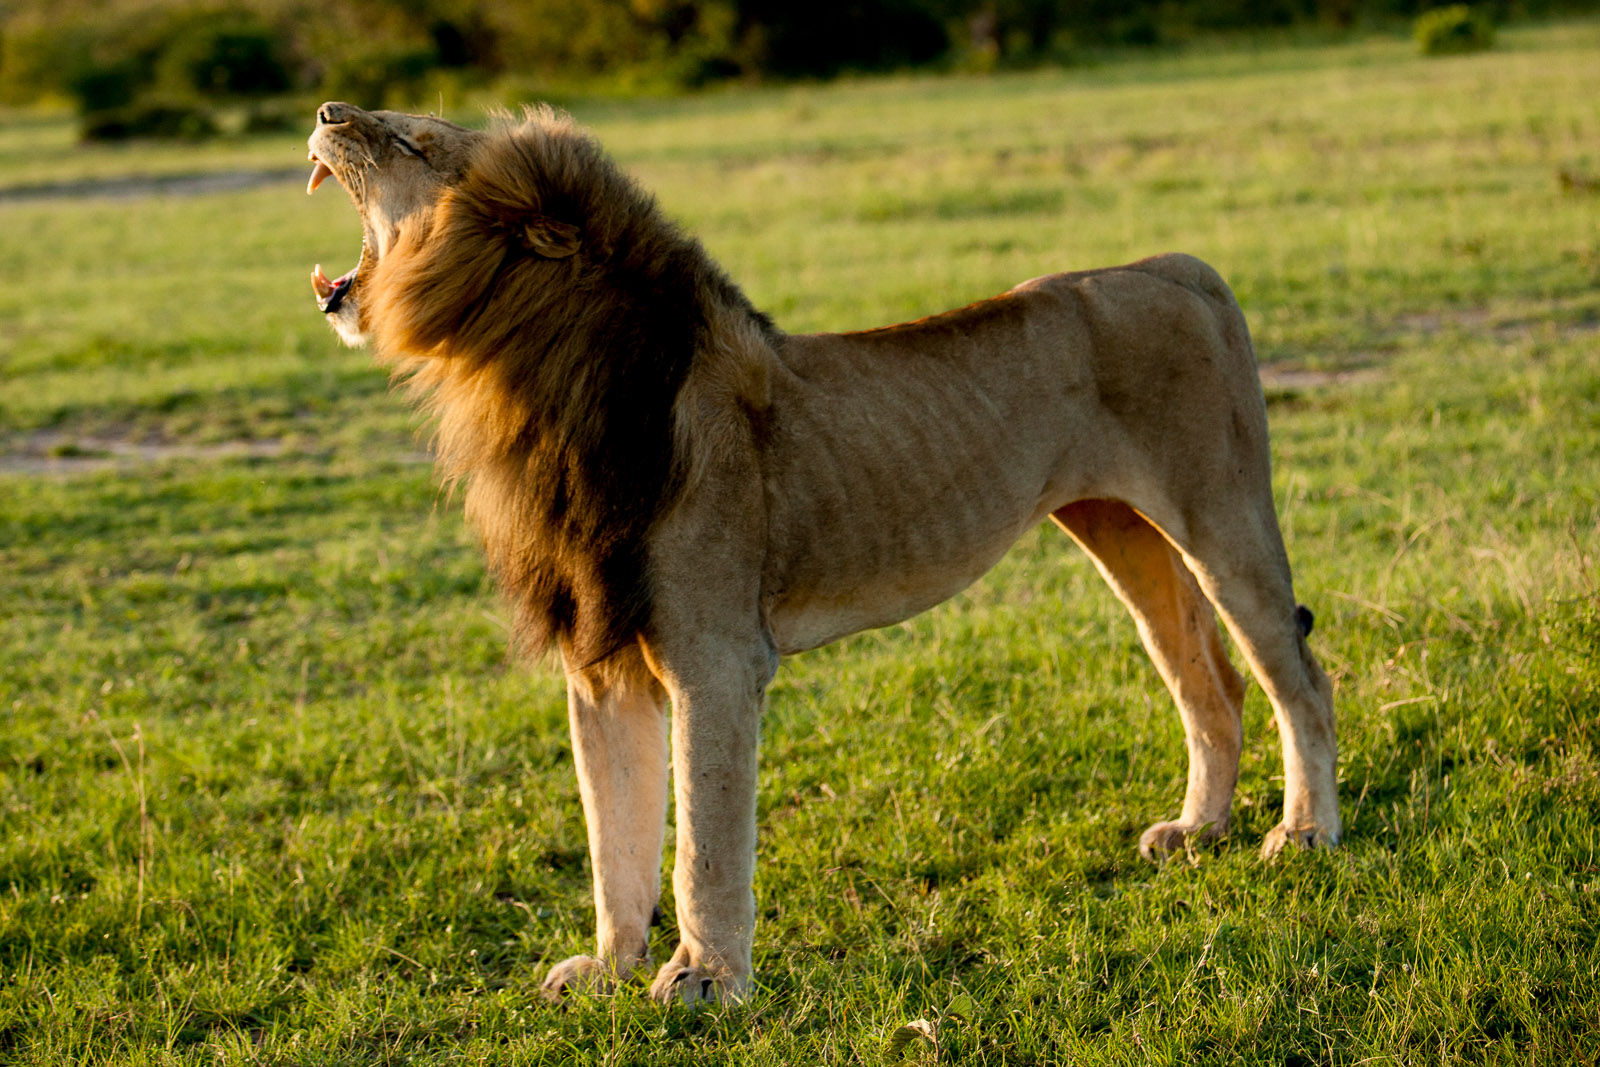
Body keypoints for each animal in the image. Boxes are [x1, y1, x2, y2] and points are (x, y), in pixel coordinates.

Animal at [305, 102, 1344, 1011]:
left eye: (413, 141)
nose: (326, 113)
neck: (526, 390)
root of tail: (1176, 265)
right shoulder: (600, 669)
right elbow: (614, 836)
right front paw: (608, 969)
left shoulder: (717, 658)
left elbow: (703, 840)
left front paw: (705, 981)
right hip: (1120, 532)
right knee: (1208, 684)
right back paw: (1200, 829)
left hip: (1222, 519)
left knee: (1298, 677)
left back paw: (1303, 833)